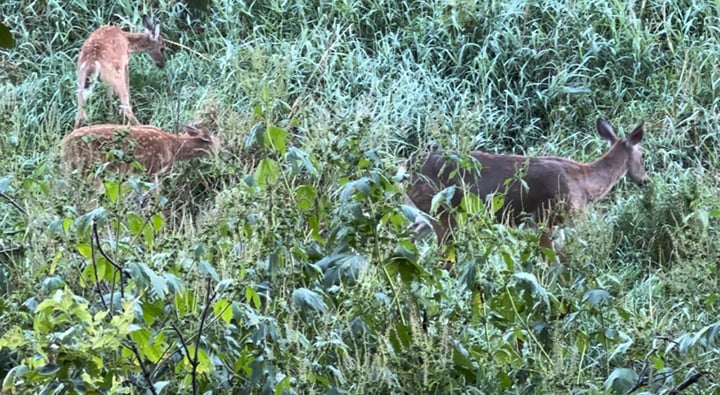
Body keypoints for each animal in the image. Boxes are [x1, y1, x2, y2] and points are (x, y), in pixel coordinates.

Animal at [408, 117, 648, 255]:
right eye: (643, 155)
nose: (645, 180)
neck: (584, 181)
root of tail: (409, 171)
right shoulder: (546, 219)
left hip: (425, 216)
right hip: (443, 213)